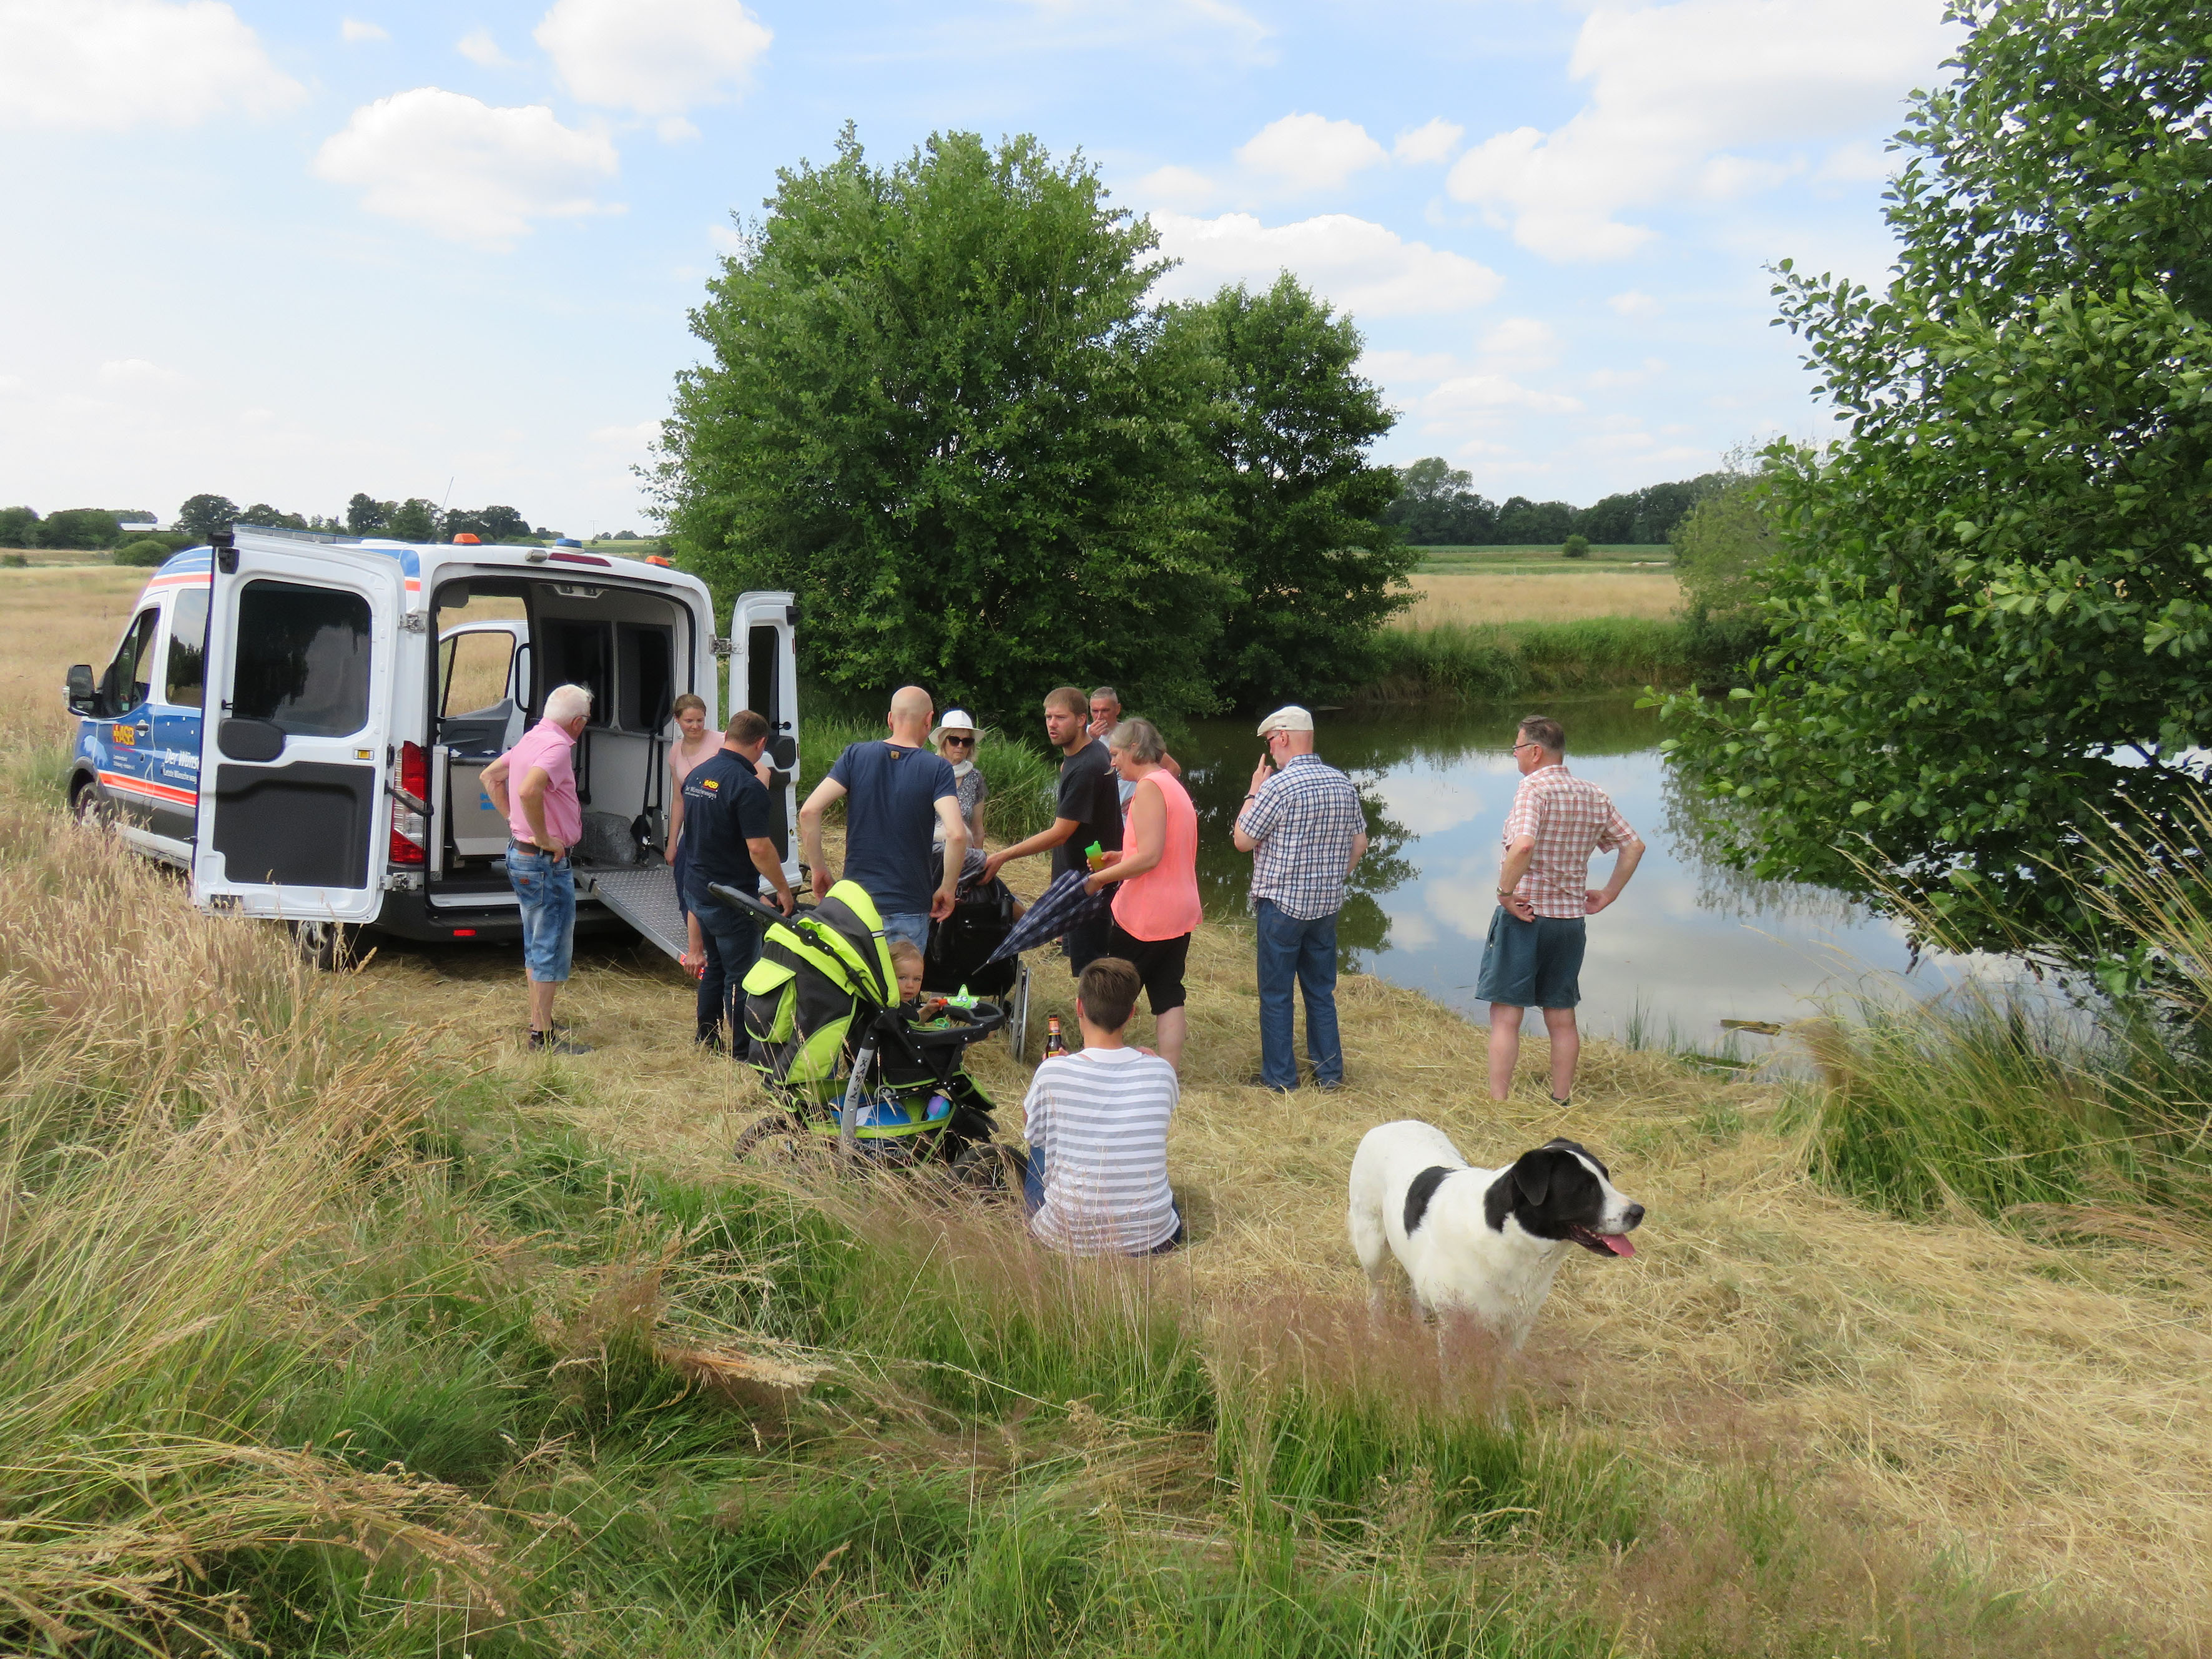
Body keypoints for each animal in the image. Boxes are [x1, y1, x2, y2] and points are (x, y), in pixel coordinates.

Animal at [1348, 1121, 1644, 1355]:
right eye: (1585, 1189)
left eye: (1607, 1177)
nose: (1639, 1212)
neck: (1509, 1241)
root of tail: (1389, 1124)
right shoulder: (1455, 1329)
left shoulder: (1517, 1328)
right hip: (1371, 1244)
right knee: (1375, 1291)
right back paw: (1377, 1333)